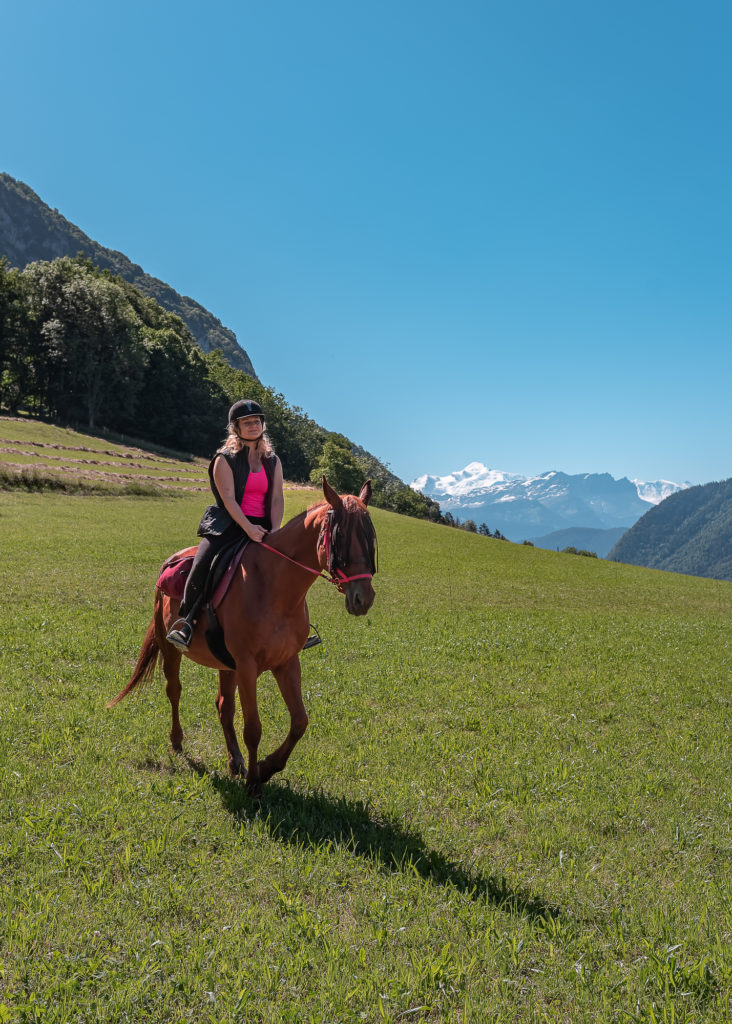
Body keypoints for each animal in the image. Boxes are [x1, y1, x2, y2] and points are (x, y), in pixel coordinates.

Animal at [109, 475, 378, 794]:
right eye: (340, 536)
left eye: (371, 538)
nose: (364, 598)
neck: (275, 588)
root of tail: (172, 560)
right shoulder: (248, 666)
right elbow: (253, 728)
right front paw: (253, 784)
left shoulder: (286, 663)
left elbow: (299, 721)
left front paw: (265, 768)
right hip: (171, 647)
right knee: (174, 690)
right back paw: (177, 742)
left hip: (227, 665)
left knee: (224, 706)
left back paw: (235, 761)